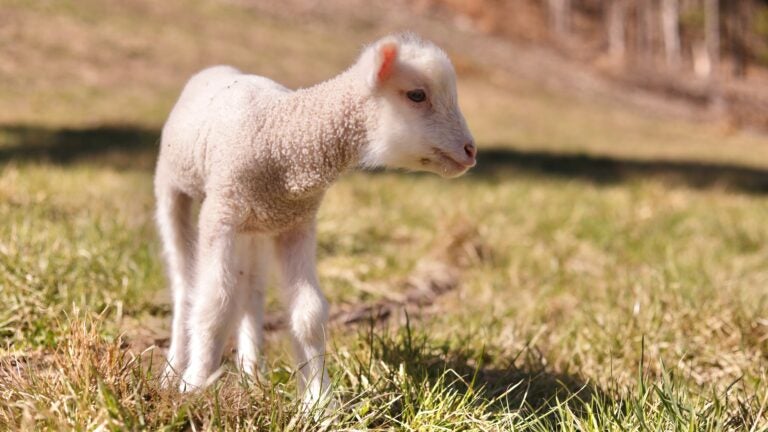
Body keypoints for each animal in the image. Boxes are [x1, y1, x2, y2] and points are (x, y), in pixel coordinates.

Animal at [154, 32, 476, 404]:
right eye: (417, 95)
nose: (471, 151)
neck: (285, 138)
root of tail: (217, 68)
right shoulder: (219, 215)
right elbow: (214, 303)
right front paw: (192, 387)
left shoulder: (297, 223)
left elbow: (309, 313)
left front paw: (319, 401)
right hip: (174, 188)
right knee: (184, 285)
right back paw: (174, 368)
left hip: (255, 224)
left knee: (251, 289)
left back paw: (253, 373)